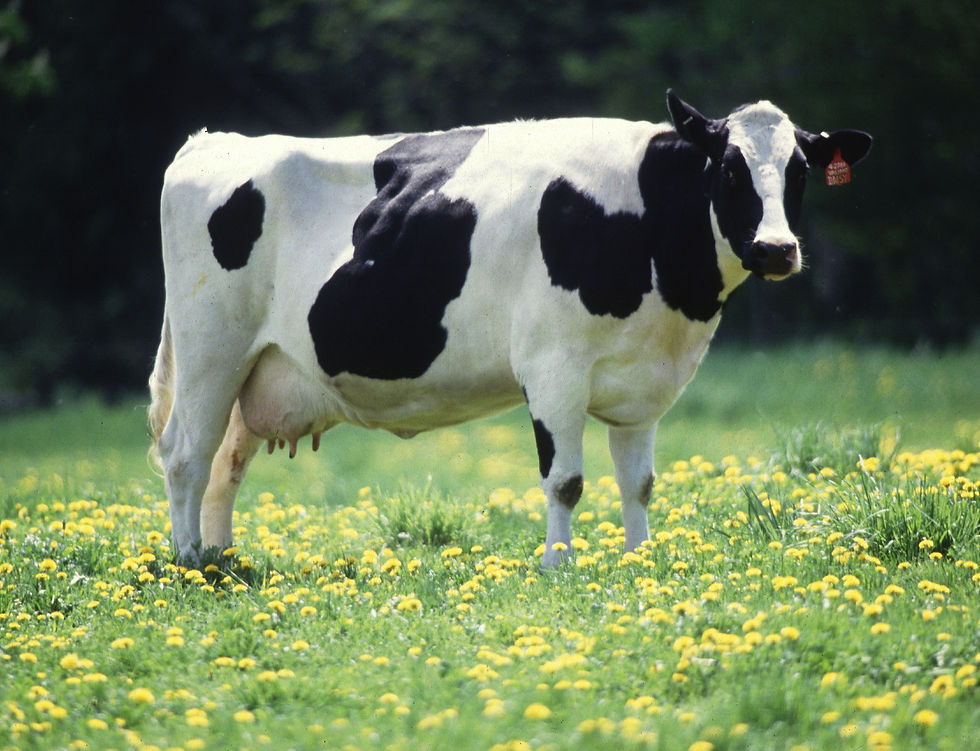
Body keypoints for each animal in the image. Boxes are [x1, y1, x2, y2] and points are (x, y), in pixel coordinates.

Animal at [148, 90, 871, 567]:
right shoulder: (553, 366)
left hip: (258, 366)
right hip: (211, 348)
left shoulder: (644, 383)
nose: (776, 249)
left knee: (225, 462)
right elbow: (566, 480)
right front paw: (558, 565)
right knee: (186, 453)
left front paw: (640, 561)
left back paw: (223, 559)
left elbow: (638, 482)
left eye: (800, 171)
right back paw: (190, 563)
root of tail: (212, 141)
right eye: (729, 167)